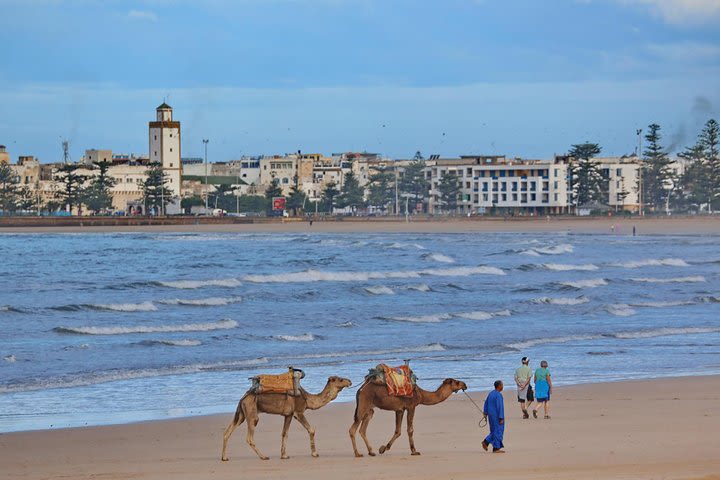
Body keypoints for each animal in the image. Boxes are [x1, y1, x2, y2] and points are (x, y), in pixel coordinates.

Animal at [222, 376, 352, 462]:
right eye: (340, 379)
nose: (350, 381)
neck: (307, 399)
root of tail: (243, 398)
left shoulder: (288, 415)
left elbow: (285, 433)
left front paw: (284, 455)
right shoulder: (298, 412)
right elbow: (311, 430)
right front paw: (315, 453)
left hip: (242, 414)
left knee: (227, 432)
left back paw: (224, 457)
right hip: (251, 412)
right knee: (249, 437)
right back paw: (264, 456)